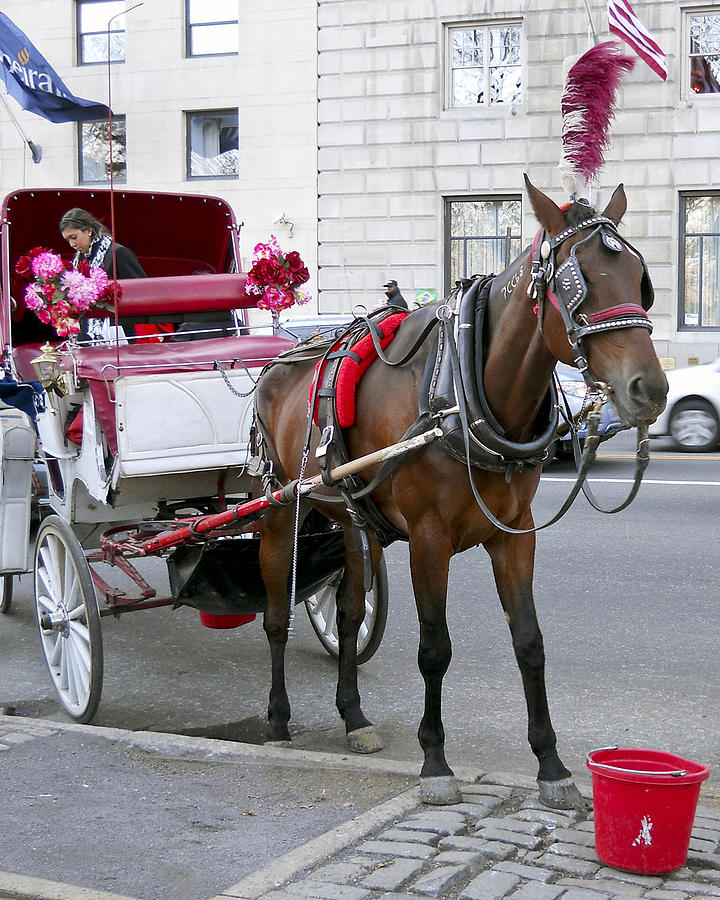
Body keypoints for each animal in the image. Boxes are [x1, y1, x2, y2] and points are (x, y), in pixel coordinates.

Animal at [253, 178, 668, 808]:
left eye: (640, 279)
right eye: (577, 284)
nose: (650, 389)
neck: (466, 392)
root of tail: (280, 358)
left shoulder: (513, 536)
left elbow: (530, 642)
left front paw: (551, 766)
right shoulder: (429, 540)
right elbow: (435, 648)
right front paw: (435, 761)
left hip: (353, 520)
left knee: (348, 616)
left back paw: (354, 717)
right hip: (280, 507)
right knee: (277, 615)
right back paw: (277, 716)